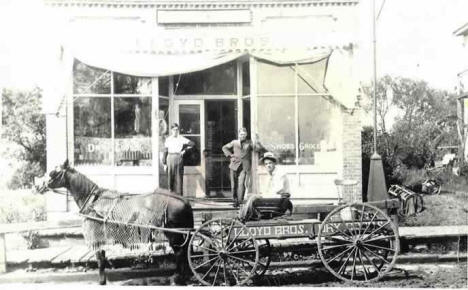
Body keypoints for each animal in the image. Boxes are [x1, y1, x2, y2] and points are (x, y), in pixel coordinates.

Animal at [33, 161, 193, 286]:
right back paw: (183, 276)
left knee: (180, 253)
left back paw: (178, 278)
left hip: (174, 234)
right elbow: (103, 258)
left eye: (53, 172)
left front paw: (101, 281)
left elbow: (100, 259)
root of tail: (184, 200)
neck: (94, 201)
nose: (37, 186)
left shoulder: (96, 236)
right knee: (183, 252)